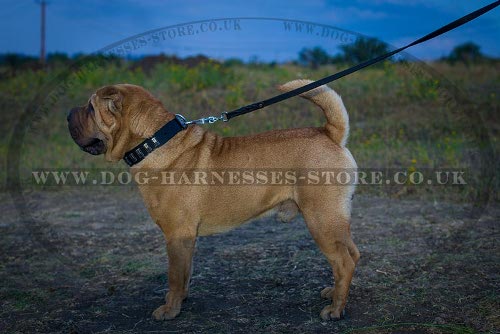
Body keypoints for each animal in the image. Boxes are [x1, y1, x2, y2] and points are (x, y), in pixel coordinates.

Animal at [68, 80, 362, 320]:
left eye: (91, 109)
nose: (68, 113)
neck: (154, 142)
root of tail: (330, 133)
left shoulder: (177, 234)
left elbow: (174, 276)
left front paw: (170, 310)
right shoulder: (186, 239)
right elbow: (184, 273)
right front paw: (179, 300)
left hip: (321, 221)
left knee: (343, 261)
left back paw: (335, 310)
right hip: (336, 220)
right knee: (352, 254)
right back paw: (334, 293)